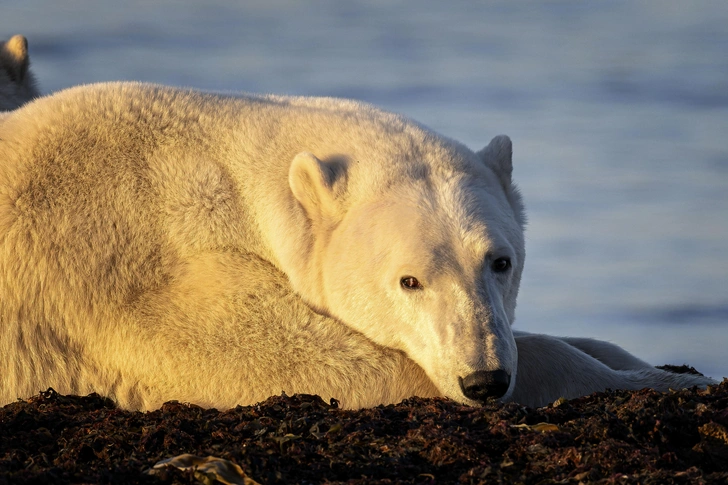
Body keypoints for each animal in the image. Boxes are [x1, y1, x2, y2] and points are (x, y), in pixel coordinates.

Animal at [0, 82, 716, 408]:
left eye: (501, 261)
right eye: (409, 280)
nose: (484, 380)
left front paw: (668, 366)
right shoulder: (130, 273)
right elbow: (337, 365)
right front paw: (662, 382)